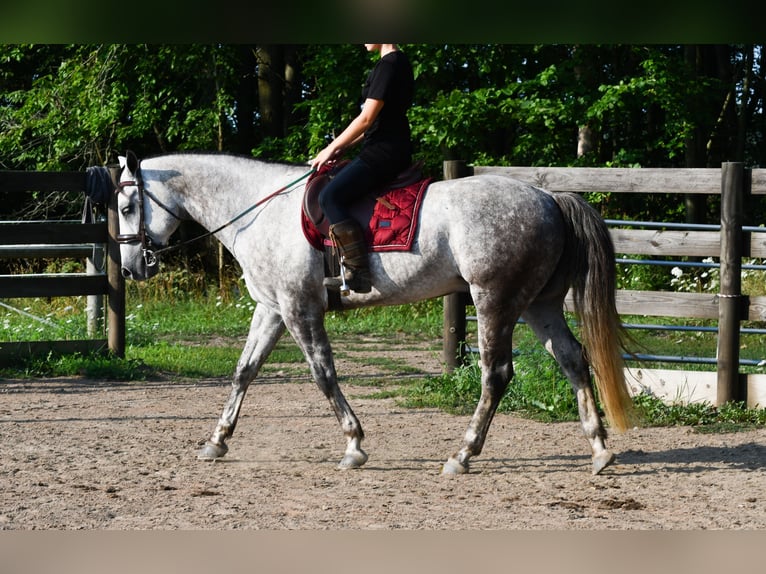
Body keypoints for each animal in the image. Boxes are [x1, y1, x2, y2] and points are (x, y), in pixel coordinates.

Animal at [115, 150, 635, 476]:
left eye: (125, 205)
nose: (131, 266)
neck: (259, 211)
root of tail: (549, 199)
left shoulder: (299, 307)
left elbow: (323, 374)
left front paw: (354, 444)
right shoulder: (272, 307)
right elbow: (244, 371)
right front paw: (217, 441)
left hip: (495, 301)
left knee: (496, 374)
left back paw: (463, 455)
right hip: (537, 305)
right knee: (573, 359)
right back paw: (599, 450)